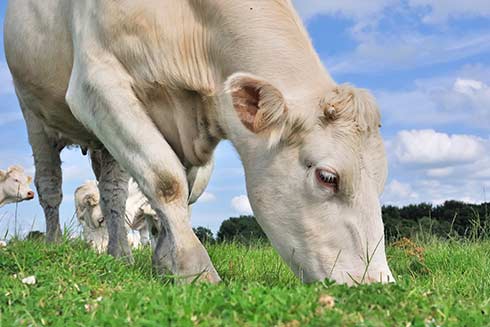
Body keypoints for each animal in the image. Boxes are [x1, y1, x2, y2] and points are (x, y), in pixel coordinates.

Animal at [3, 0, 394, 284]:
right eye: (327, 177)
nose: (377, 285)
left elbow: (185, 192)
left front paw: (164, 260)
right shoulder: (97, 84)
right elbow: (166, 180)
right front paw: (195, 269)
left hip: (104, 143)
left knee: (112, 193)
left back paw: (121, 254)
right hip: (33, 112)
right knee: (50, 187)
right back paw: (53, 244)